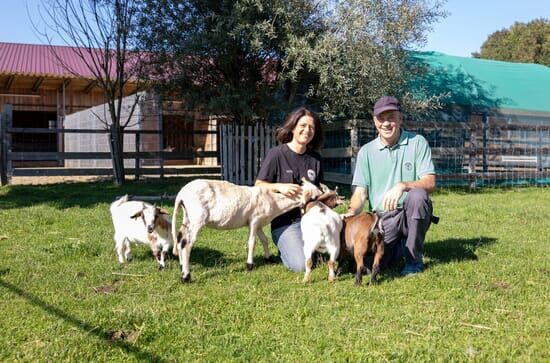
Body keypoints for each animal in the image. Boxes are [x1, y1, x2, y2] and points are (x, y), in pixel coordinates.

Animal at [172, 178, 324, 282]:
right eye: (315, 196)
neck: (274, 202)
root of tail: (181, 195)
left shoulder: (258, 223)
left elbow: (264, 240)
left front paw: (268, 258)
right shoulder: (254, 220)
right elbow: (252, 243)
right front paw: (249, 265)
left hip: (187, 218)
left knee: (180, 238)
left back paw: (181, 265)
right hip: (197, 218)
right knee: (187, 243)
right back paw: (186, 276)